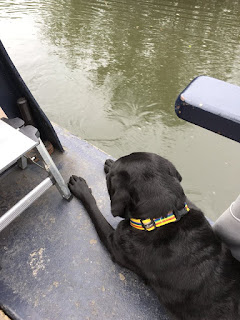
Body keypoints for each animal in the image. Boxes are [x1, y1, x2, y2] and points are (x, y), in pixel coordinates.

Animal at [68, 152, 240, 320]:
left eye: (109, 180)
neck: (163, 217)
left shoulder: (115, 243)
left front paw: (81, 189)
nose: (110, 168)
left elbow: (93, 208)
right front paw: (110, 163)